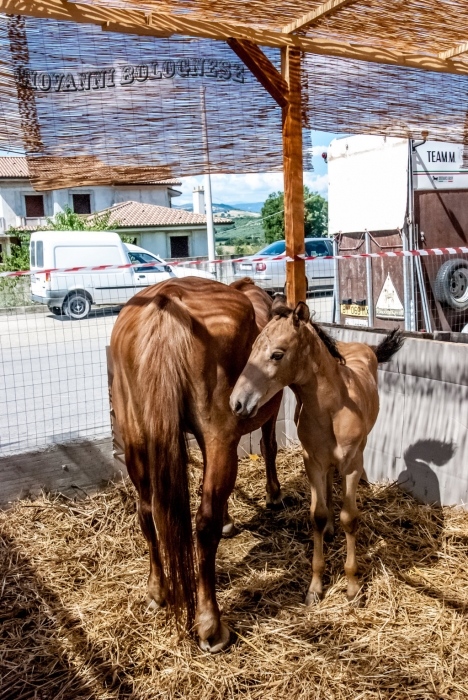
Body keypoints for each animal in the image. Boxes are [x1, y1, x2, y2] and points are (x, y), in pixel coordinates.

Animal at [230, 296, 402, 600]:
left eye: (277, 355)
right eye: (251, 349)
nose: (237, 403)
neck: (334, 409)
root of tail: (362, 346)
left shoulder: (352, 465)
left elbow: (350, 518)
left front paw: (353, 587)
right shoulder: (312, 461)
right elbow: (317, 515)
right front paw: (315, 587)